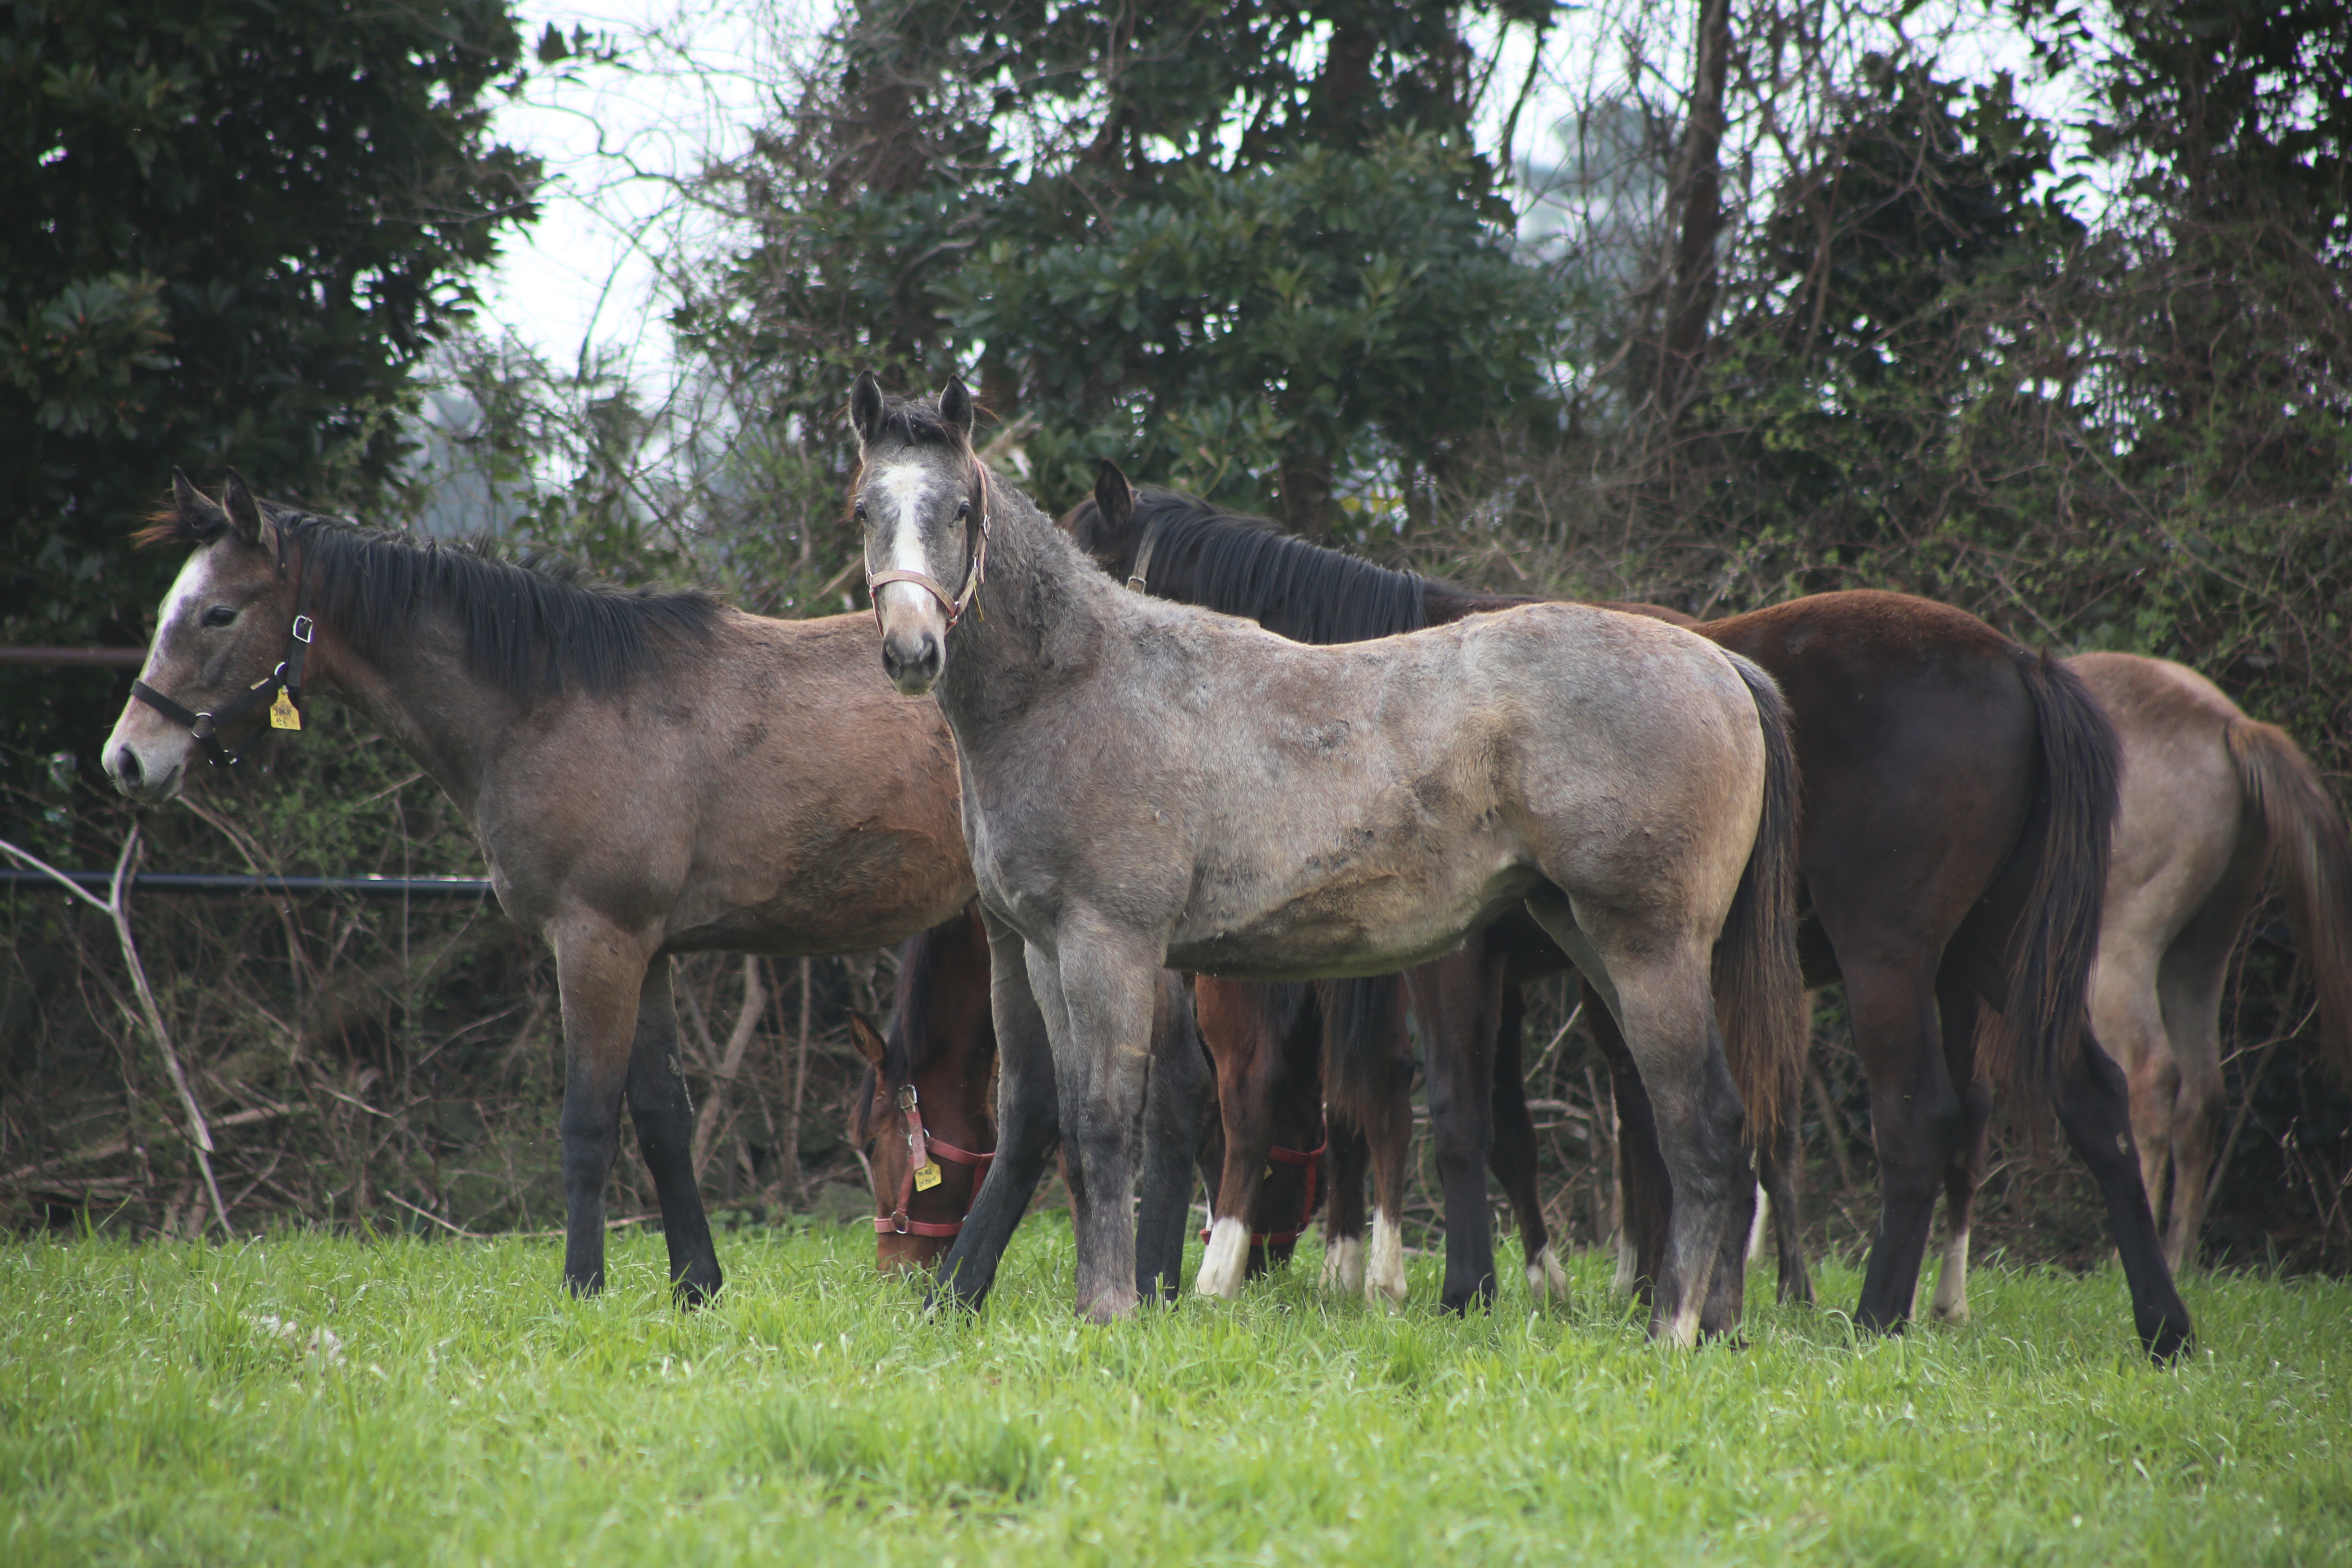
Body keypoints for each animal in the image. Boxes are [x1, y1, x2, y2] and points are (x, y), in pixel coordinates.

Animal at [856, 371, 1806, 1335]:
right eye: (865, 508)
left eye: (961, 509)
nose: (912, 650)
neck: (1076, 684)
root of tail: (1720, 665)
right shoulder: (1036, 950)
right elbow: (1045, 1121)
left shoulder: (1110, 946)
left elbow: (1106, 1119)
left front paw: (1113, 1306)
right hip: (1593, 941)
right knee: (1714, 1129)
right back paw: (1714, 1324)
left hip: (1650, 950)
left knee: (1704, 1126)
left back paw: (1673, 1329)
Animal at [1077, 465, 2192, 1363]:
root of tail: (2020, 662)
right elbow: (1504, 1127)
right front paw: (1533, 1285)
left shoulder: (1455, 964)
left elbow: (1455, 1119)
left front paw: (1462, 1289)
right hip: (1992, 953)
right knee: (2092, 1100)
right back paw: (2160, 1324)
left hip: (1891, 960)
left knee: (1917, 1120)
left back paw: (1877, 1314)